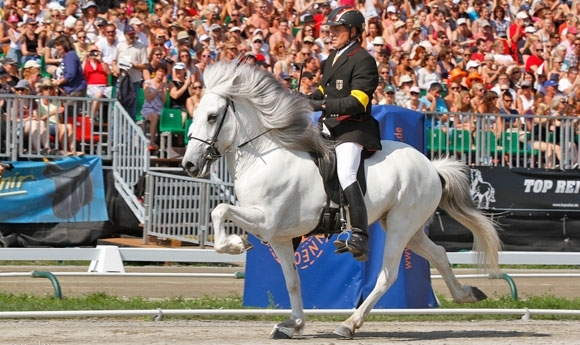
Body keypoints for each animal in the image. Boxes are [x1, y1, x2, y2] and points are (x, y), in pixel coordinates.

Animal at [182, 61, 502, 338]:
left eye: (212, 117)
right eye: (194, 115)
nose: (188, 165)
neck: (264, 156)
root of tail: (431, 167)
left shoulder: (266, 220)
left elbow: (220, 209)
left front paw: (234, 244)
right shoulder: (280, 237)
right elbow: (292, 281)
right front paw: (293, 324)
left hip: (401, 225)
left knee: (388, 274)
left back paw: (349, 323)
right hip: (405, 228)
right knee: (438, 254)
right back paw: (467, 294)